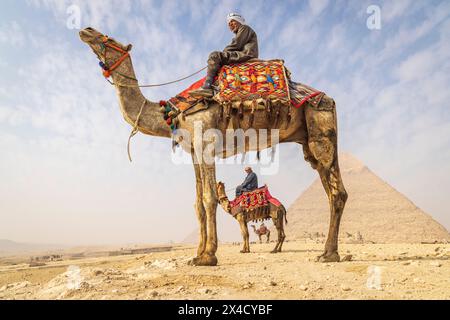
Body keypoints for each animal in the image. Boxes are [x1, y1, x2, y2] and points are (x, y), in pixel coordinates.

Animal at [80, 26, 348, 264]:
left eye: (111, 38)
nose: (87, 30)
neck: (173, 114)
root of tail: (330, 99)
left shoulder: (206, 145)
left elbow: (209, 199)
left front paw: (208, 256)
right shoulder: (194, 152)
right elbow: (197, 203)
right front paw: (197, 254)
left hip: (320, 131)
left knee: (336, 192)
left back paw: (329, 255)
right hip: (311, 142)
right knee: (331, 188)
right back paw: (326, 252)